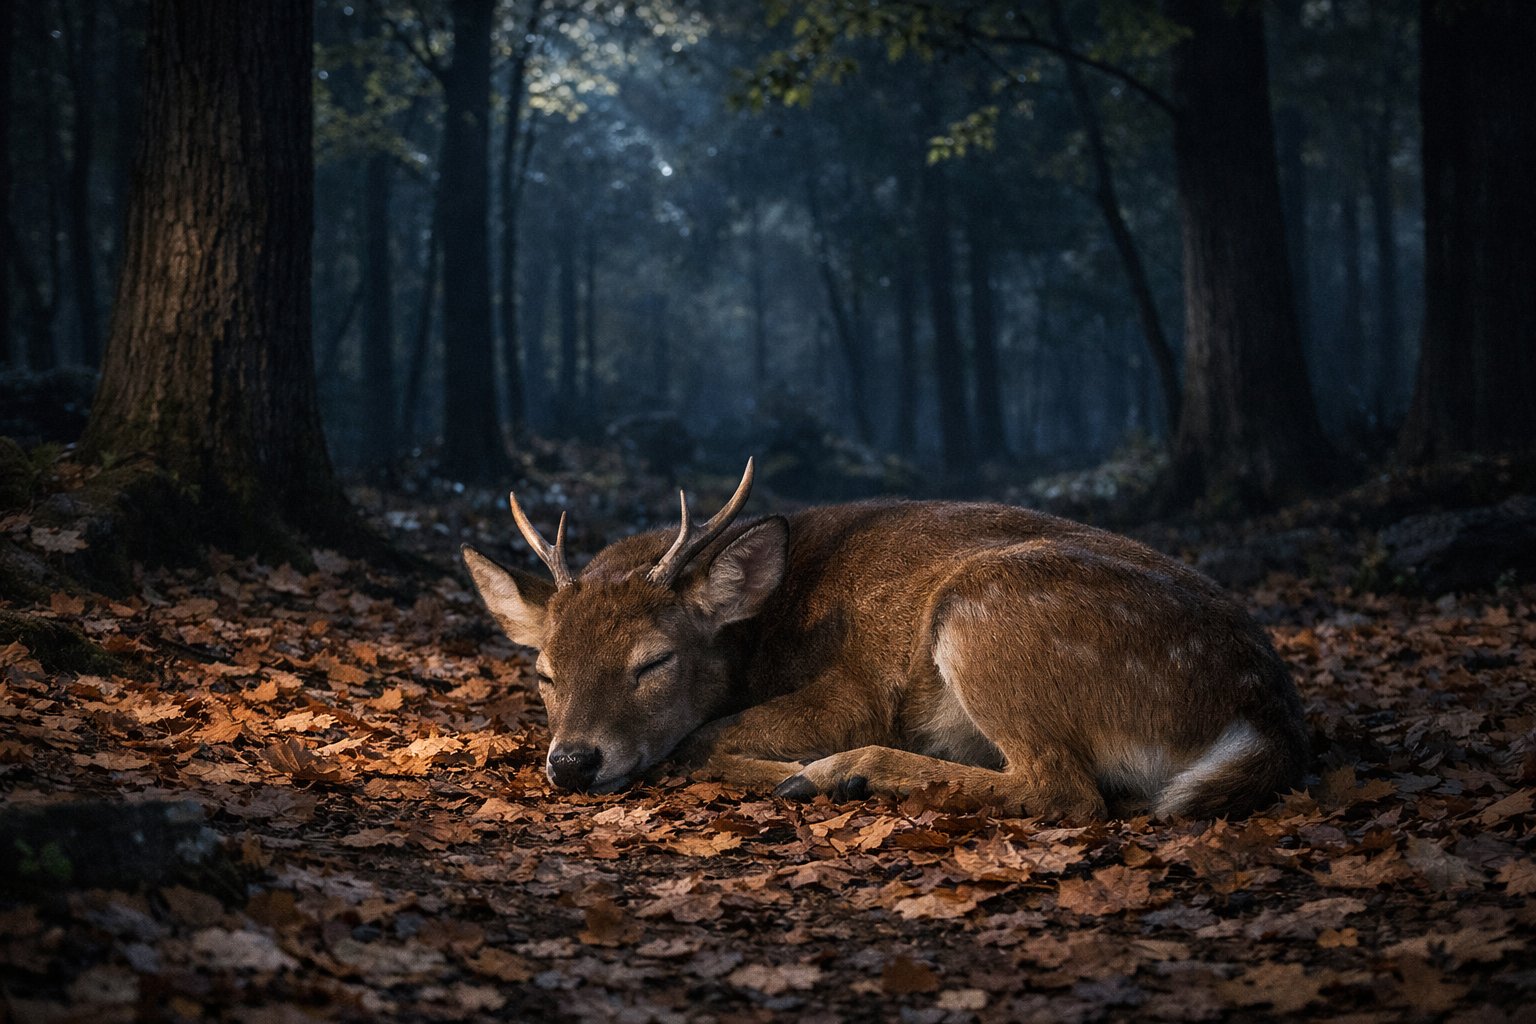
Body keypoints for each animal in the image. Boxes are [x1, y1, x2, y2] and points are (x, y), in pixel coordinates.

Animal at [462, 459, 1310, 820]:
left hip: (987, 614)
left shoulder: (855, 689)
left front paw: (791, 769)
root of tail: (1263, 713)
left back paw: (839, 775)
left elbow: (698, 740)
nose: (573, 762)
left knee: (1066, 791)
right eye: (543, 672)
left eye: (654, 661)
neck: (759, 638)